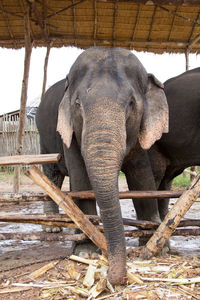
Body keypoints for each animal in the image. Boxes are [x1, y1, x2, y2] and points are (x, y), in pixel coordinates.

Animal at [36, 46, 169, 284]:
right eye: (77, 104)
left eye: (131, 103)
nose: (109, 276)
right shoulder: (70, 134)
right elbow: (80, 180)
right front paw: (86, 252)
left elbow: (142, 178)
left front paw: (157, 247)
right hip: (44, 137)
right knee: (52, 175)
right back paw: (52, 229)